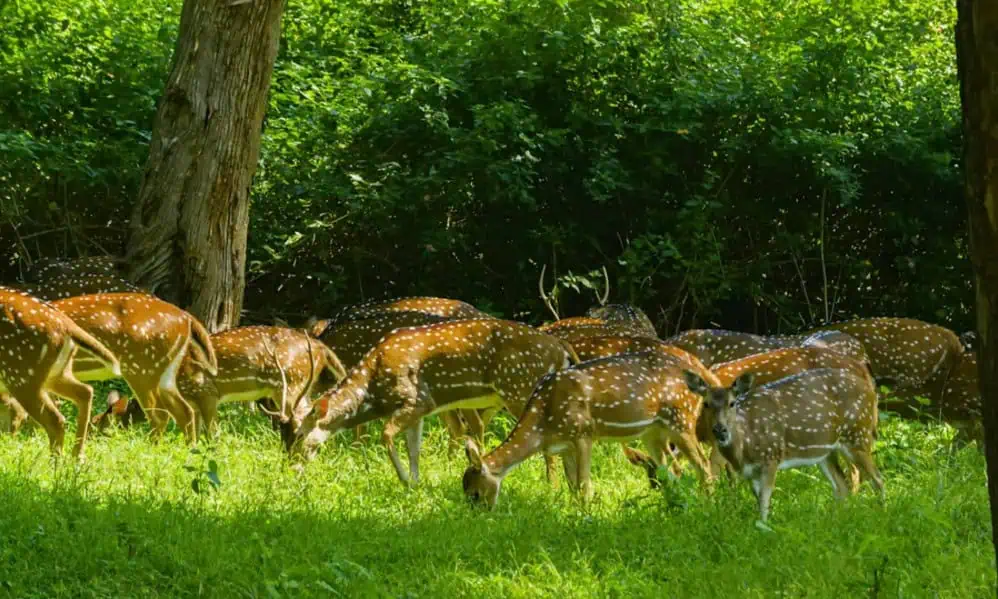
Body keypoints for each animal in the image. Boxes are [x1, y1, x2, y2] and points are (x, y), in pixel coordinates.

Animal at [0, 287, 122, 459]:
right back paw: (77, 457)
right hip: (57, 373)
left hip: (22, 375)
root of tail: (67, 326)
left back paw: (54, 463)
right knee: (86, 391)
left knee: (54, 419)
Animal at [49, 292, 218, 444]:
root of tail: (187, 318)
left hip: (142, 368)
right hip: (165, 372)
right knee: (184, 410)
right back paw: (189, 447)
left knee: (159, 414)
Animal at [292, 319, 581, 487]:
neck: (373, 386)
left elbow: (386, 434)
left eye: (300, 434)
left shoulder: (416, 399)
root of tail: (560, 348)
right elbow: (414, 448)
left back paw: (552, 487)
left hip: (520, 387)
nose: (293, 467)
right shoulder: (420, 410)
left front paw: (405, 480)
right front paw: (416, 484)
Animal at [462, 348, 717, 510]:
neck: (543, 424)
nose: (479, 515)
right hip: (652, 431)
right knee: (669, 470)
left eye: (475, 494)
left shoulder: (583, 432)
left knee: (703, 465)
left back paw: (706, 504)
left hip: (682, 418)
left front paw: (585, 515)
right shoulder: (563, 446)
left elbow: (584, 484)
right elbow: (572, 485)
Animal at [683, 366, 884, 522]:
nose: (720, 430)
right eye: (706, 404)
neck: (745, 446)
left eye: (732, 403)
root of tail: (872, 392)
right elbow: (759, 501)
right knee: (842, 486)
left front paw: (764, 528)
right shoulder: (750, 472)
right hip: (826, 452)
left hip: (858, 435)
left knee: (878, 479)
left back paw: (882, 513)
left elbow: (765, 502)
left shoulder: (771, 457)